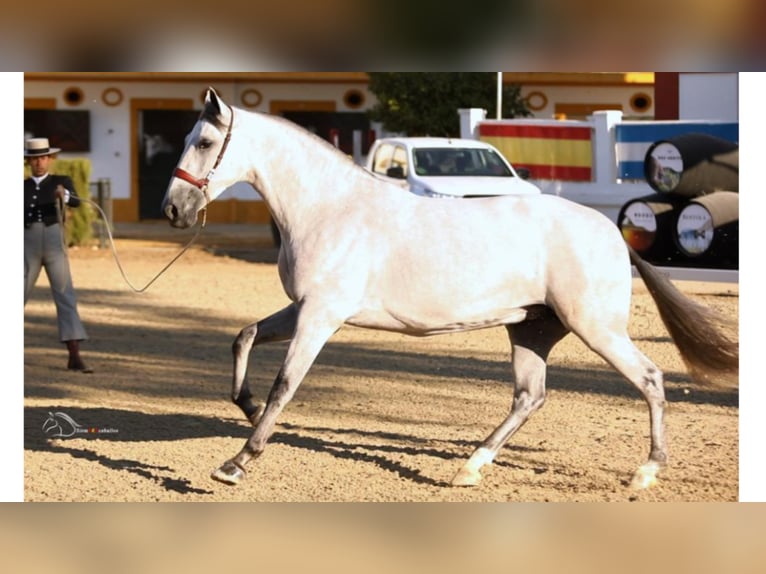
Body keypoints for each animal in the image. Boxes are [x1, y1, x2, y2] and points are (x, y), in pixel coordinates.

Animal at [160, 88, 736, 492]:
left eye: (204, 143)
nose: (173, 210)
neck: (329, 209)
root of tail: (610, 230)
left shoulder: (320, 317)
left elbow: (285, 385)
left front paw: (236, 462)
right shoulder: (302, 310)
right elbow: (243, 337)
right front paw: (248, 405)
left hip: (595, 328)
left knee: (650, 379)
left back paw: (646, 472)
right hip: (534, 330)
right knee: (529, 396)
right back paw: (470, 467)